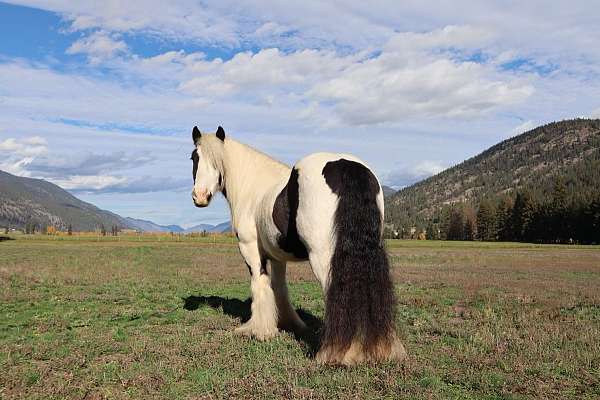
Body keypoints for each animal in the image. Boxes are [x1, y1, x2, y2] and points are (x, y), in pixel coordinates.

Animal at [190, 126, 406, 366]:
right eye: (195, 158)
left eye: (215, 160)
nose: (200, 196)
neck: (254, 189)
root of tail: (348, 166)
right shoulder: (277, 256)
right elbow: (279, 288)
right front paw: (288, 324)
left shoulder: (251, 249)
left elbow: (260, 285)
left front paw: (259, 331)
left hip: (323, 258)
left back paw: (337, 353)